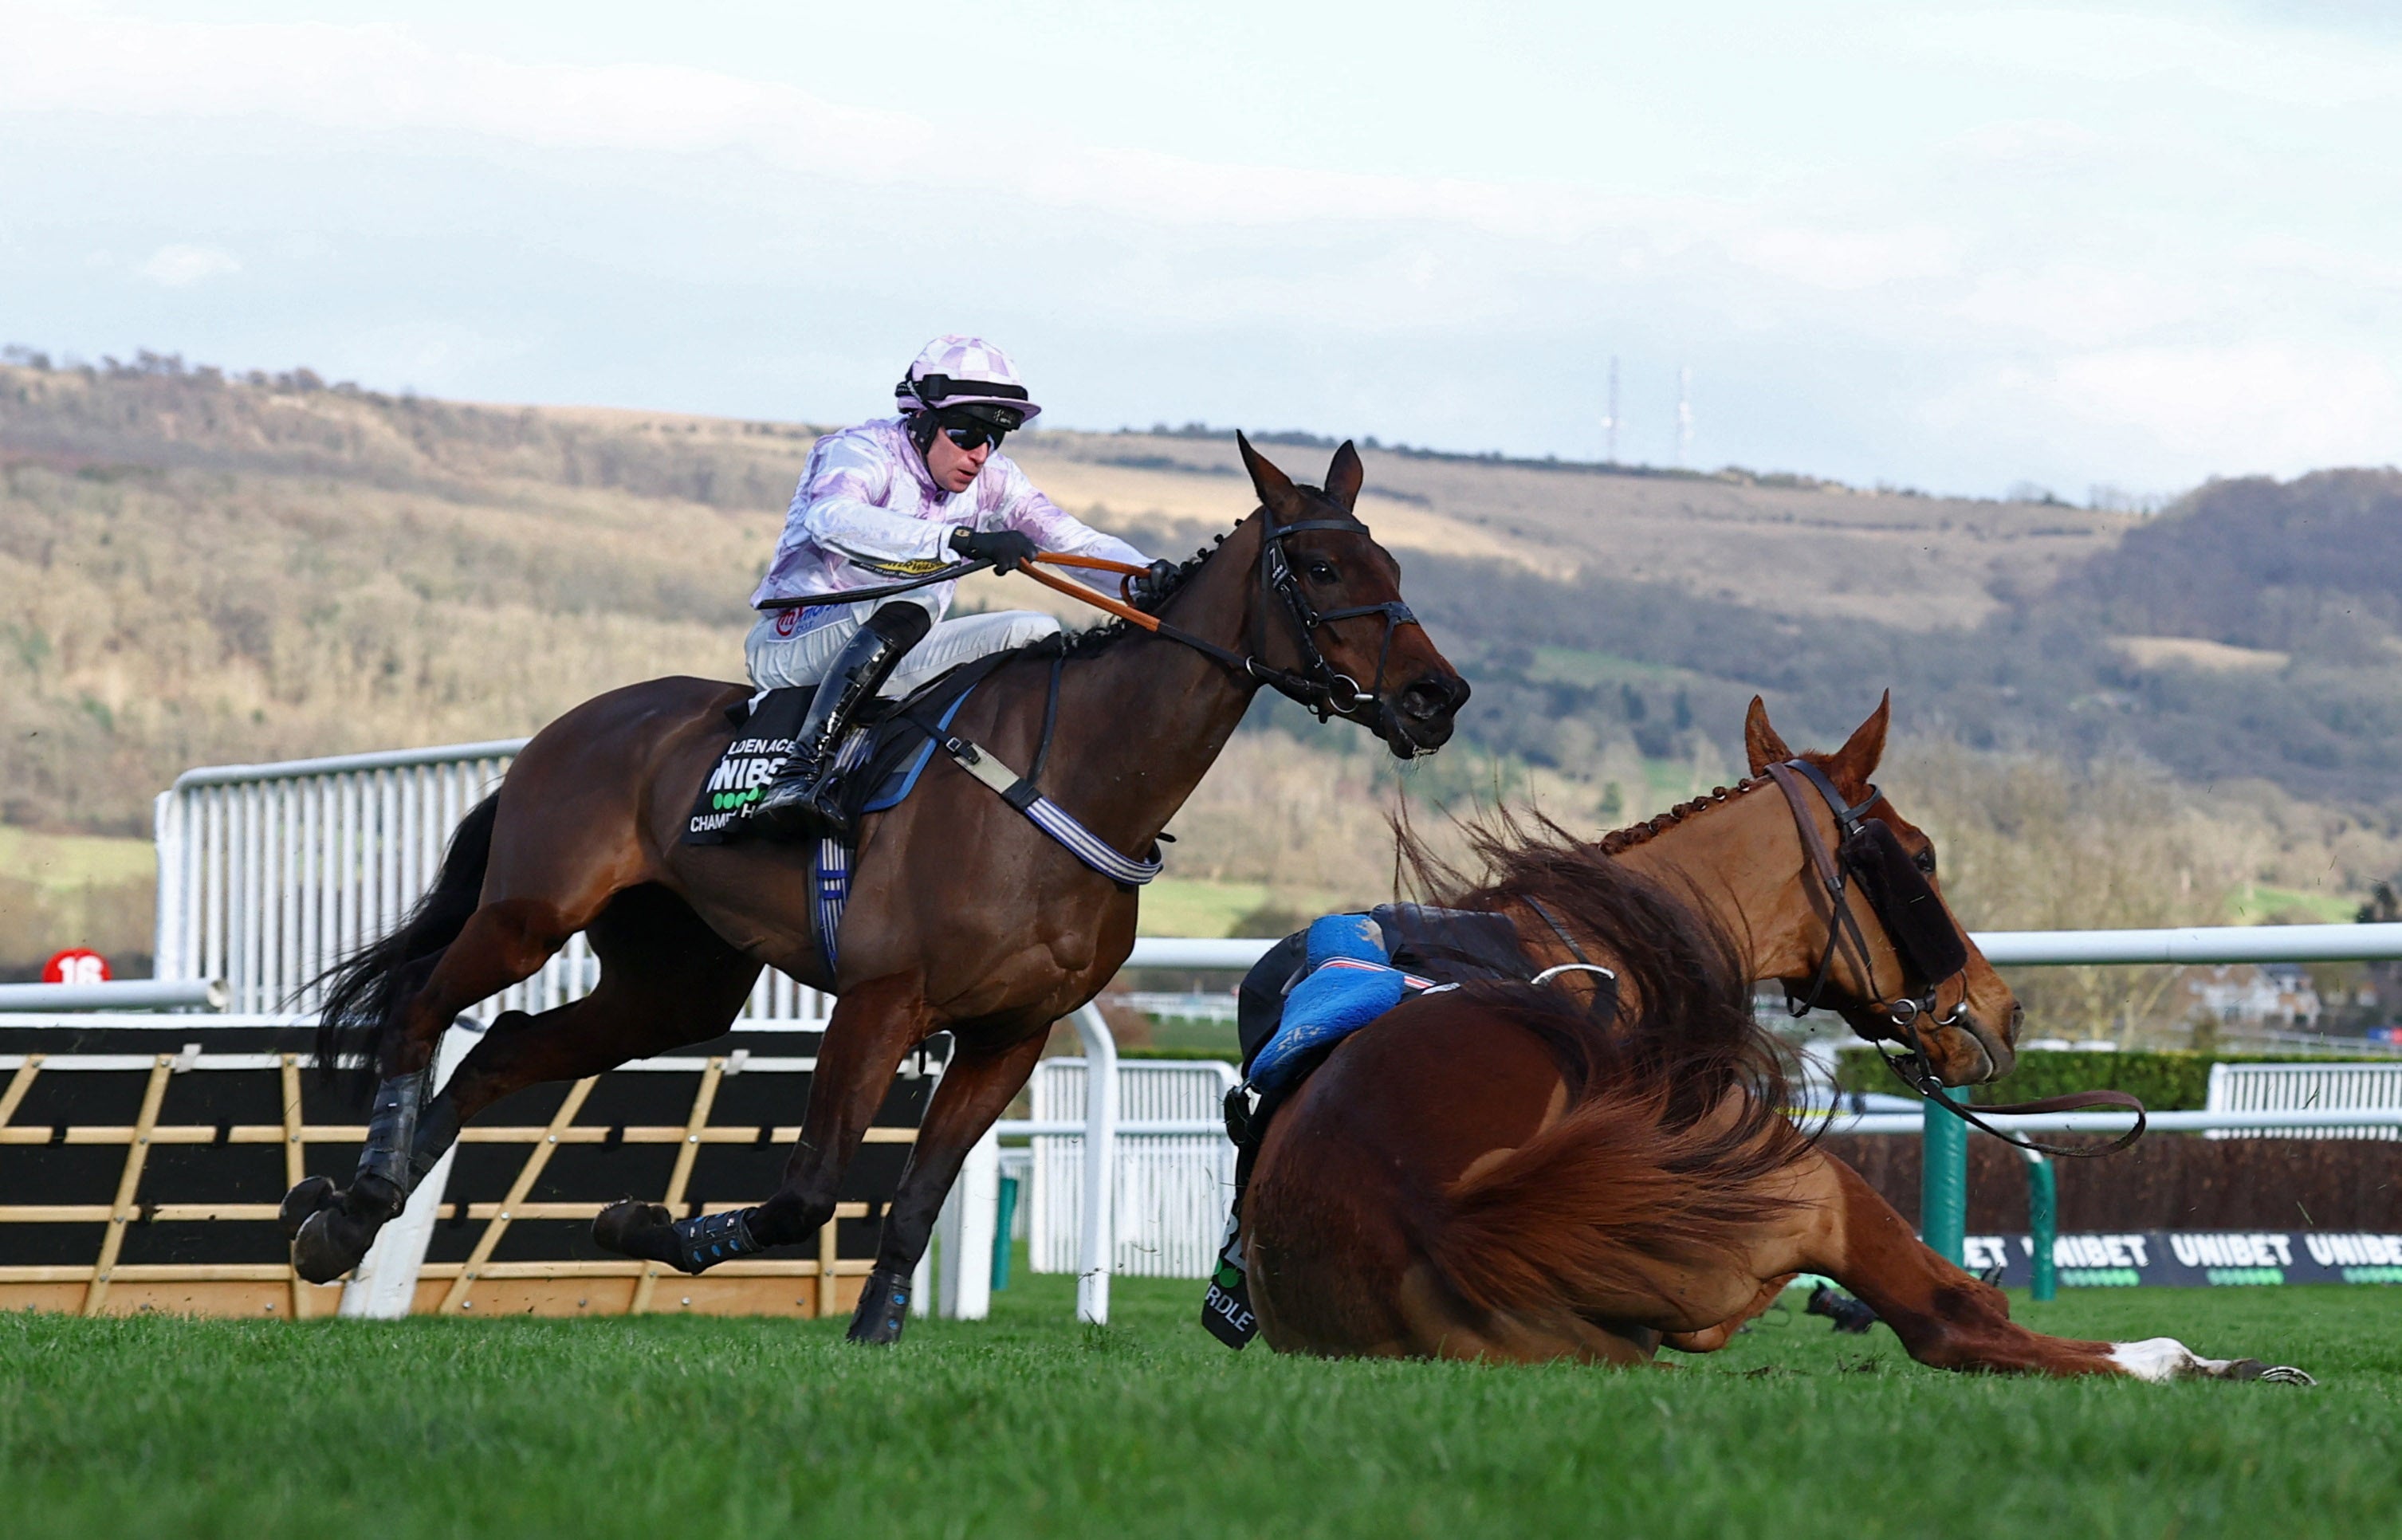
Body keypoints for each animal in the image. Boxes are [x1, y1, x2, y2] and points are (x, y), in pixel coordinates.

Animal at [290, 432, 1469, 1335]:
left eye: (1392, 566)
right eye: (1321, 574)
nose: (1436, 696)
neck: (1077, 775)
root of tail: (568, 726)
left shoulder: (1011, 1033)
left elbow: (913, 1201)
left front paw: (875, 1326)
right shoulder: (881, 998)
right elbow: (810, 1189)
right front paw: (646, 1226)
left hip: (669, 984)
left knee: (500, 1048)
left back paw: (347, 1218)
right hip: (533, 910)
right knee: (426, 1003)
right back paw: (368, 1186)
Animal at [1239, 697, 2306, 1384]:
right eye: (1919, 856)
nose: (2001, 1013)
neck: (1600, 949)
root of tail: (1445, 1208)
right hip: (1810, 1178)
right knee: (1958, 1326)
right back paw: (2185, 1360)